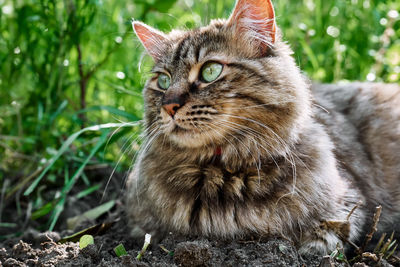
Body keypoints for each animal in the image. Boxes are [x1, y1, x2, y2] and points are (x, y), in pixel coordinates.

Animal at [126, 0, 400, 256]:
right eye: (163, 81)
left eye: (210, 71)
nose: (169, 105)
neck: (220, 171)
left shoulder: (345, 212)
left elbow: (316, 242)